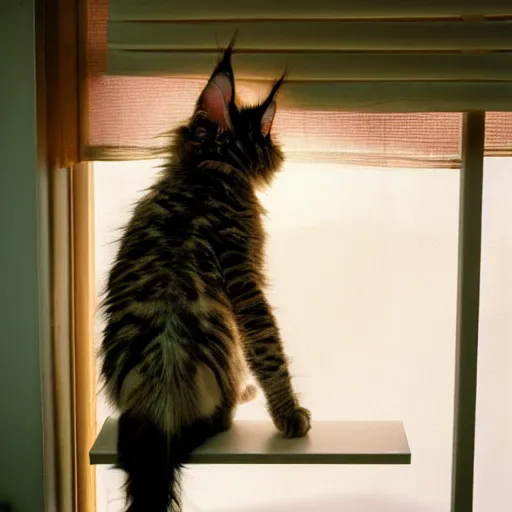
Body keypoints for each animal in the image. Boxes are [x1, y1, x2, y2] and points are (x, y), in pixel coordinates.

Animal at [98, 41, 310, 512]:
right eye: (266, 135)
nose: (282, 150)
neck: (205, 173)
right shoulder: (243, 271)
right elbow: (267, 344)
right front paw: (289, 414)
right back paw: (244, 396)